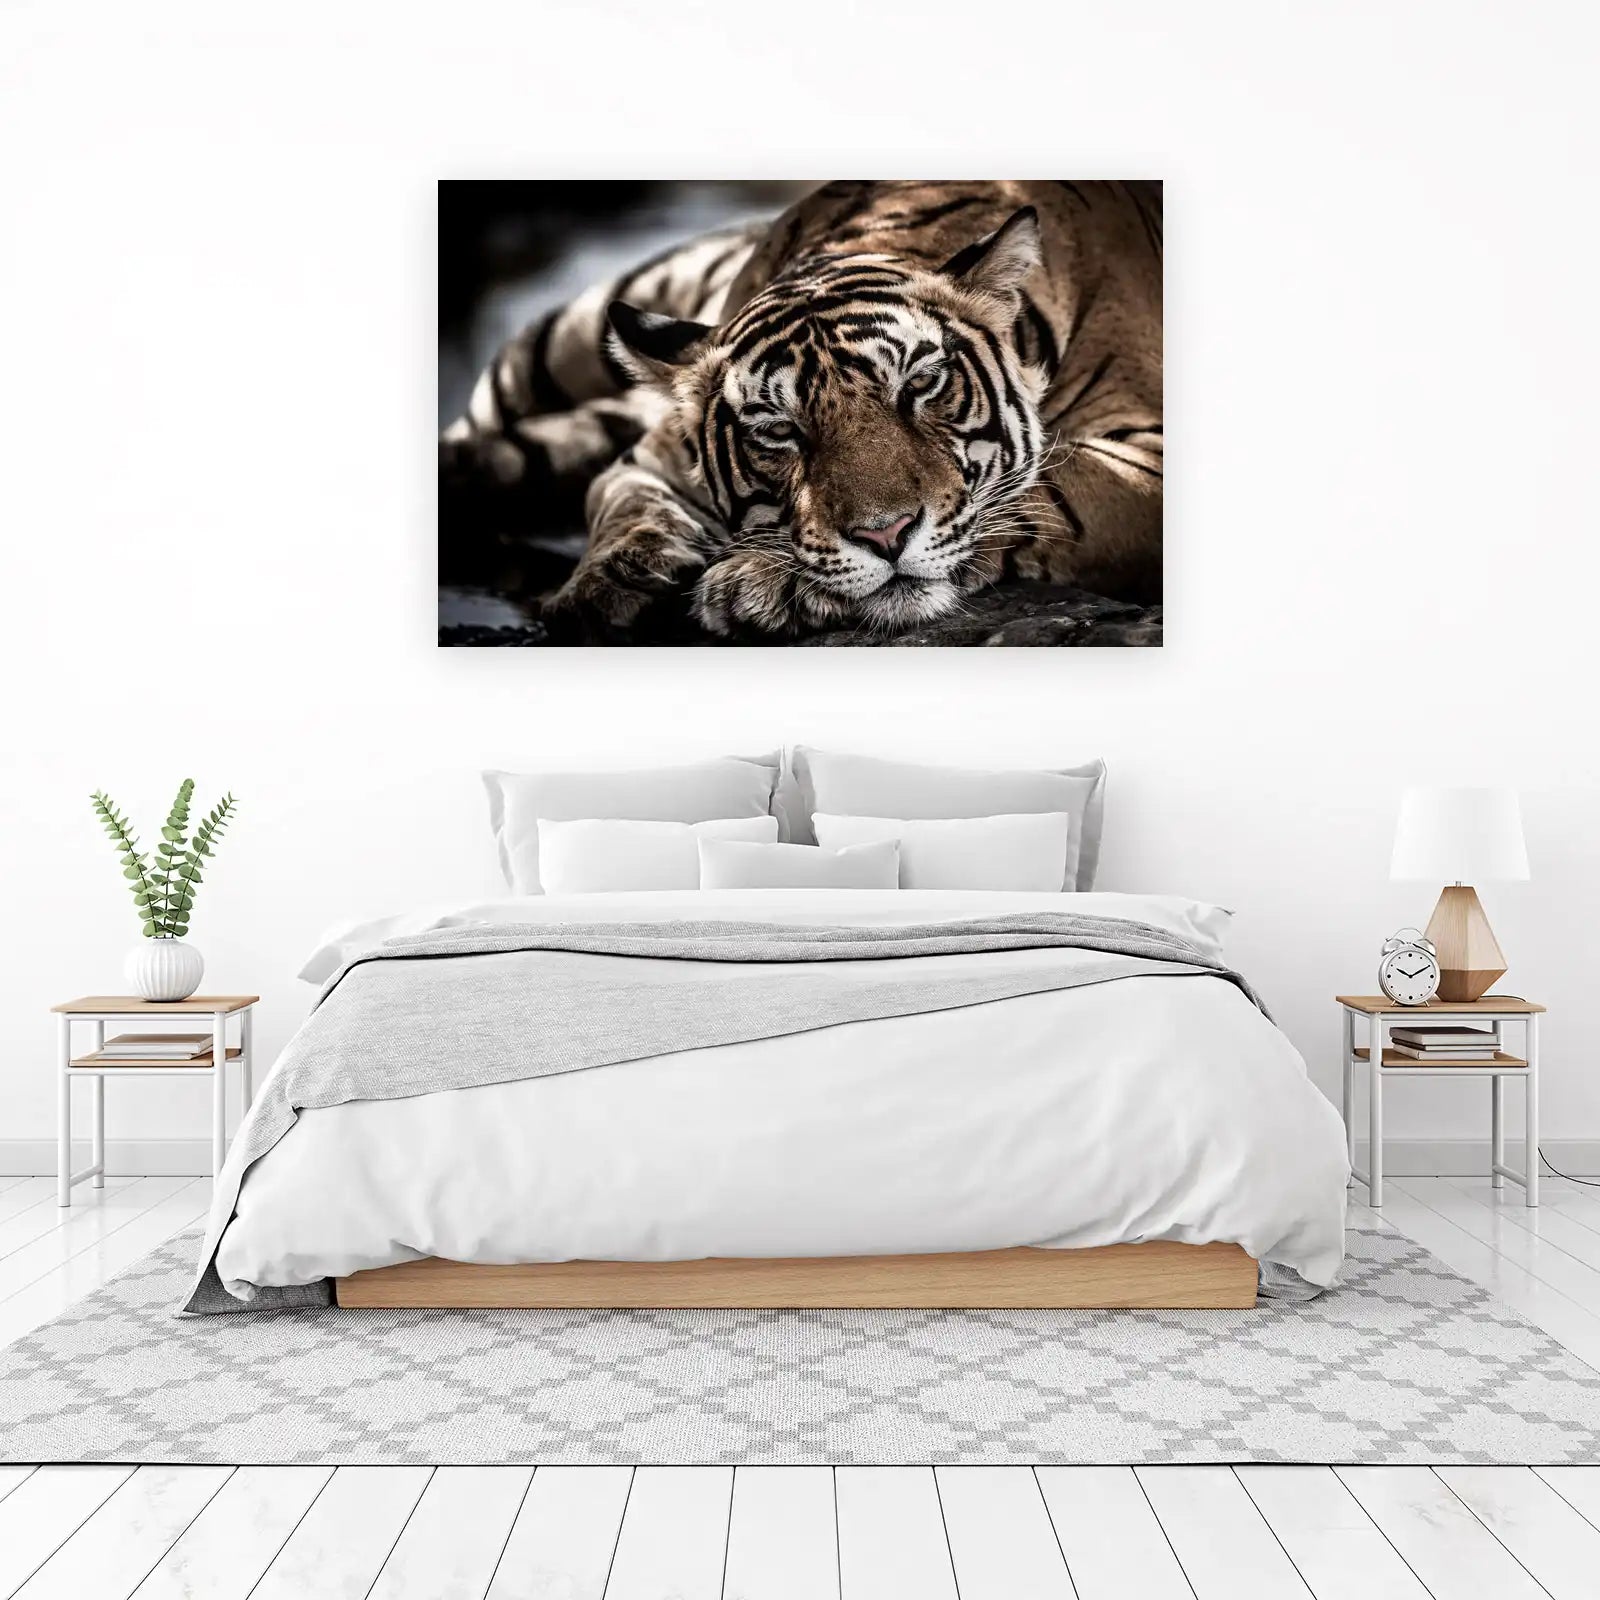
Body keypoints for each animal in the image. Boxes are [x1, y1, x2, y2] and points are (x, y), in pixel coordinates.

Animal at [440, 180, 1162, 641]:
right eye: (779, 430)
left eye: (922, 383)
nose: (885, 536)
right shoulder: (648, 456)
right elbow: (621, 502)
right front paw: (605, 585)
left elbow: (1047, 492)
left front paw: (762, 580)